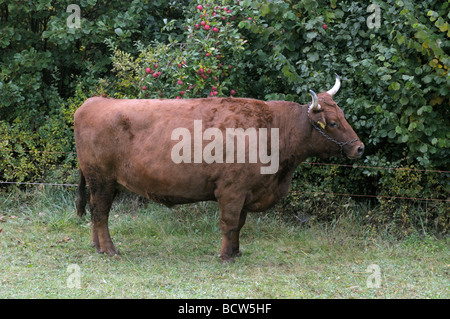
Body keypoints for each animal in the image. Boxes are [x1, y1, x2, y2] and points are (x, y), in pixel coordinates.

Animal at [73, 74, 362, 262]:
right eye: (333, 122)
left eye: (343, 116)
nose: (360, 148)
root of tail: (94, 101)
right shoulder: (231, 190)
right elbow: (229, 223)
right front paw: (225, 256)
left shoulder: (246, 191)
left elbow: (240, 225)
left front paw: (236, 252)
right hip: (101, 179)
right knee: (101, 213)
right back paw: (110, 250)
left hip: (104, 182)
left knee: (96, 212)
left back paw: (96, 246)